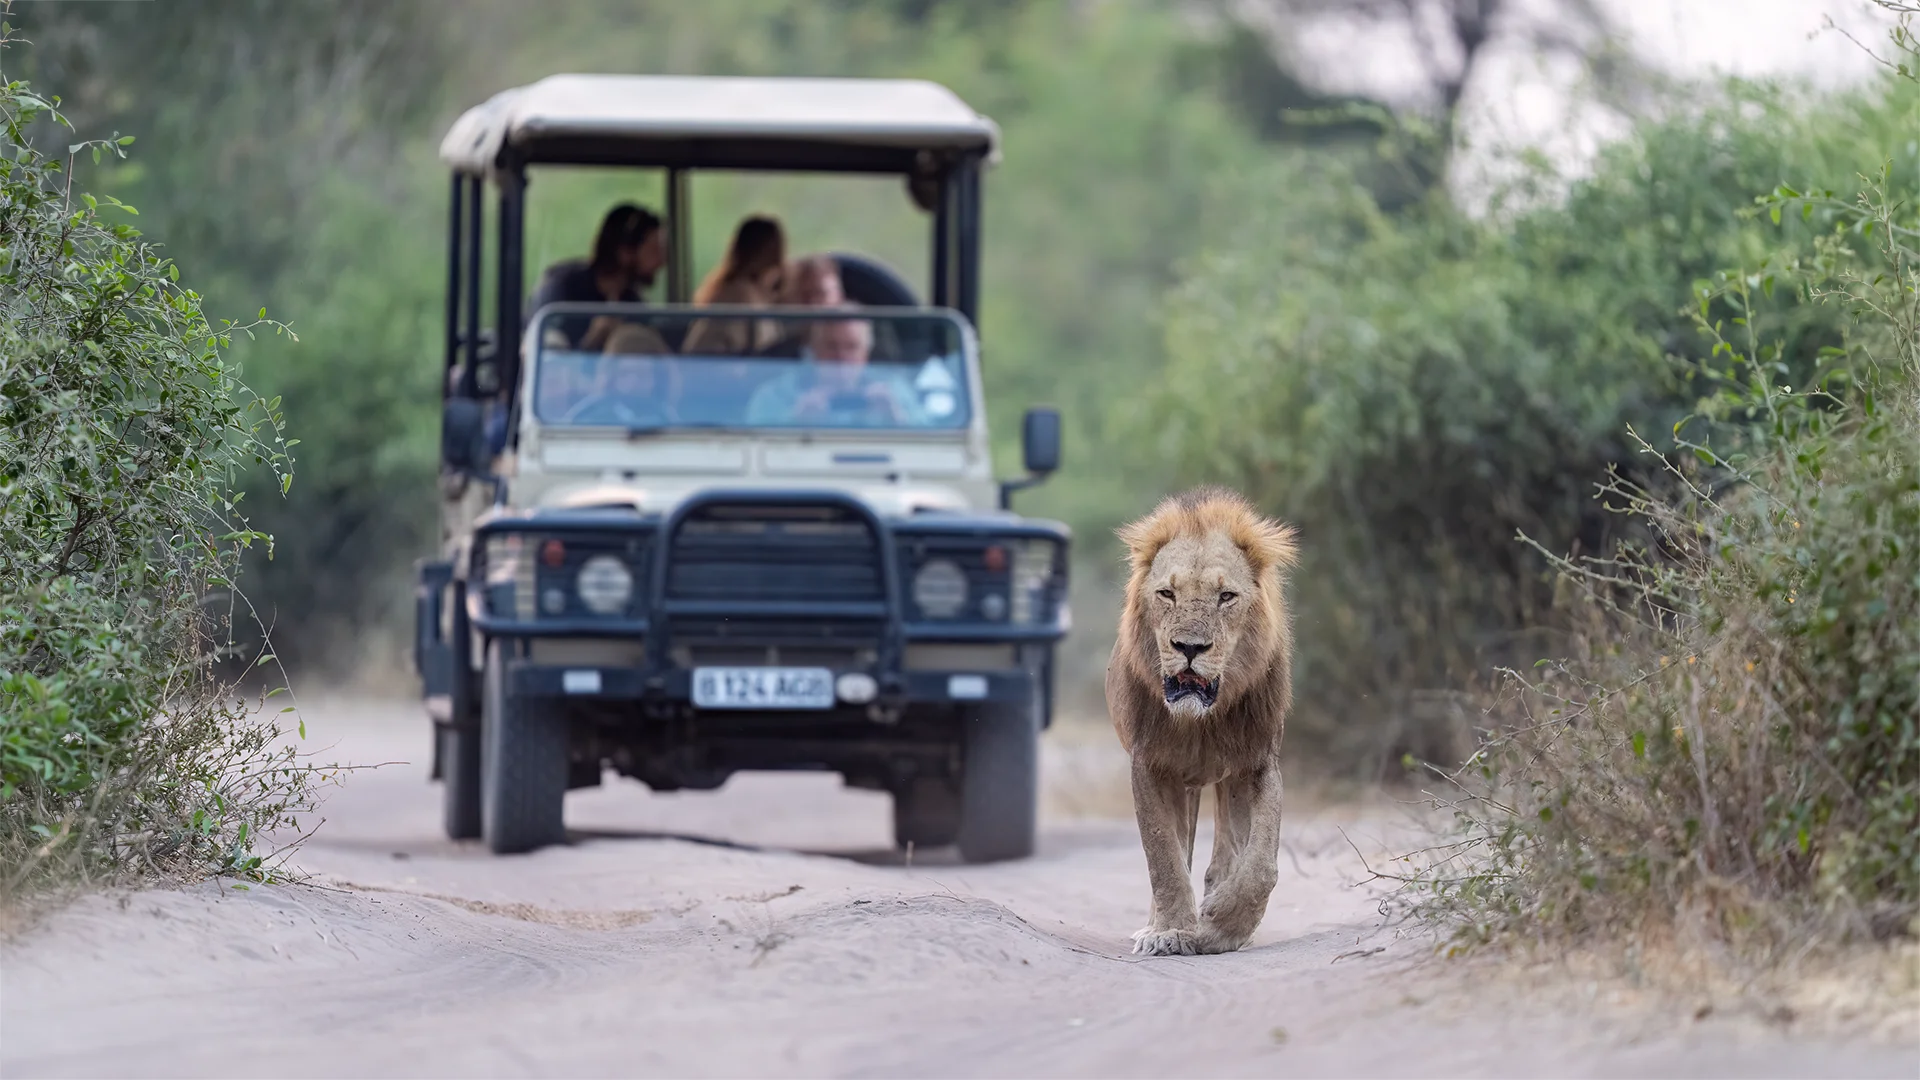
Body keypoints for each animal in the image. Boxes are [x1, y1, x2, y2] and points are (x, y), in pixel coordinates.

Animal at [1106, 486, 1298, 956]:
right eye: (1166, 594)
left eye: (1226, 596)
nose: (1190, 647)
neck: (1200, 721)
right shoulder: (1150, 765)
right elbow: (1163, 857)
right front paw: (1170, 932)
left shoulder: (1258, 763)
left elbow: (1261, 864)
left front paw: (1223, 925)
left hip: (1224, 781)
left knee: (1229, 848)